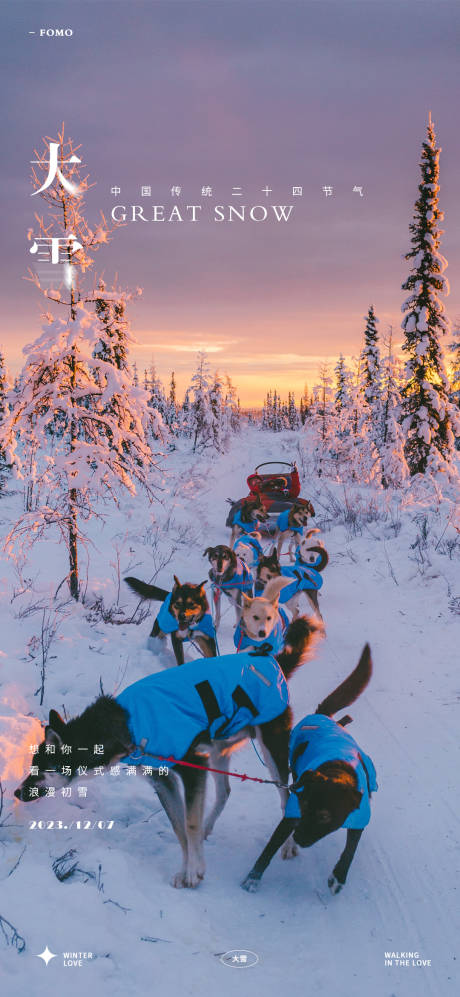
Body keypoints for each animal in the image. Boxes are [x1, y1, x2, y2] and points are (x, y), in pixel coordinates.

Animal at [12, 624, 318, 888]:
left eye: (39, 769)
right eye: (31, 766)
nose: (15, 792)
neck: (127, 725)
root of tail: (272, 661)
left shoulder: (193, 767)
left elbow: (190, 824)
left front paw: (195, 873)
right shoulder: (163, 780)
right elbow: (180, 829)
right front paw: (186, 869)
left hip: (272, 751)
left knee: (286, 798)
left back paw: (288, 845)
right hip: (219, 751)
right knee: (225, 792)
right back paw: (209, 828)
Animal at [241, 644, 374, 896]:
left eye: (324, 816)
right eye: (304, 806)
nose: (299, 837)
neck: (336, 768)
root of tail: (324, 715)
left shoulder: (359, 819)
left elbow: (350, 850)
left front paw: (338, 876)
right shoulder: (293, 812)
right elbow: (270, 846)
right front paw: (252, 877)